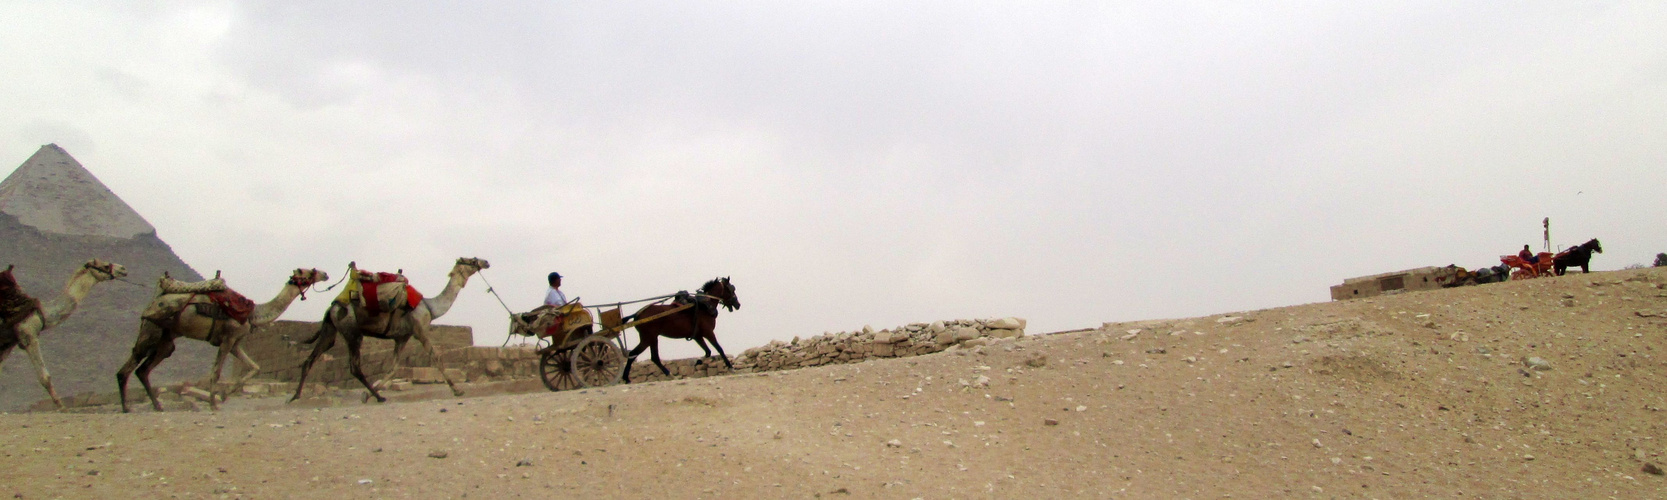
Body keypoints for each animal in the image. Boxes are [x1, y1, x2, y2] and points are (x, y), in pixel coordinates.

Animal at [0, 260, 128, 408]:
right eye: (105, 265)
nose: (123, 269)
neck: (44, 313)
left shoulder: (8, 343)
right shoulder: (29, 335)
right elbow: (45, 377)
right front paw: (62, 407)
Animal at [115, 268, 331, 411]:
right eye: (309, 271)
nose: (325, 274)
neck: (254, 313)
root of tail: (153, 301)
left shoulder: (235, 343)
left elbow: (255, 367)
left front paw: (223, 395)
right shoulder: (228, 338)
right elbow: (216, 373)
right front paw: (213, 403)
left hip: (166, 339)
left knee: (144, 369)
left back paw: (157, 405)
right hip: (152, 329)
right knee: (128, 367)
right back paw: (126, 407)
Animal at [291, 258, 486, 401]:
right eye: (471, 260)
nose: (486, 262)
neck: (431, 307)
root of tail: (332, 308)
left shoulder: (402, 337)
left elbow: (393, 367)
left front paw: (368, 393)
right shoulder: (420, 329)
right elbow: (436, 357)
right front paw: (457, 390)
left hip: (330, 329)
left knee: (311, 358)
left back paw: (295, 396)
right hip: (351, 329)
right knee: (354, 367)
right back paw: (379, 397)